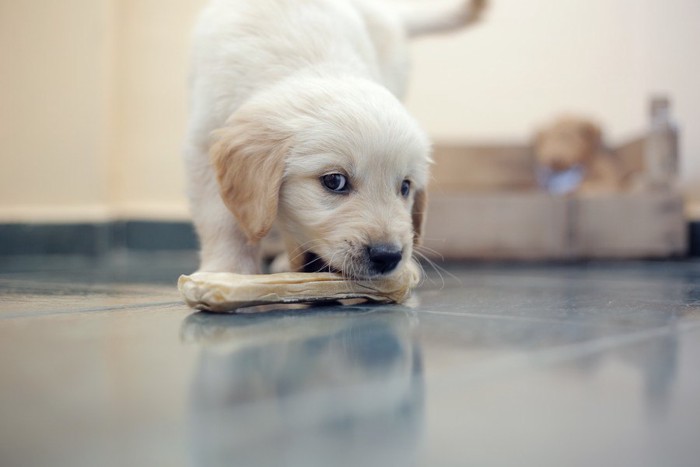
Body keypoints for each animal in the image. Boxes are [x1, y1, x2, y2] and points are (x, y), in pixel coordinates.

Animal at [183, 0, 484, 278]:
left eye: (405, 187)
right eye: (334, 181)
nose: (388, 256)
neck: (306, 60)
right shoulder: (203, 143)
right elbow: (221, 219)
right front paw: (227, 271)